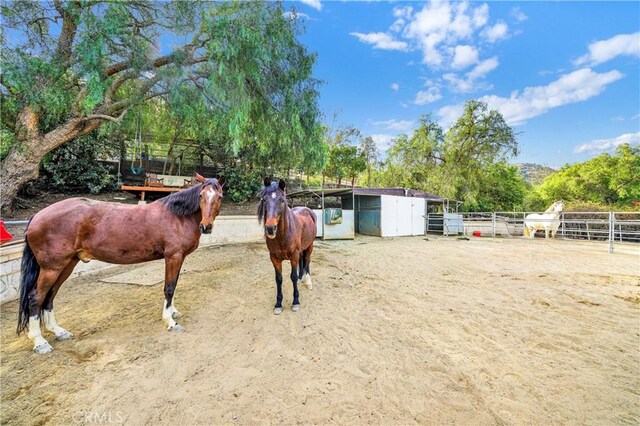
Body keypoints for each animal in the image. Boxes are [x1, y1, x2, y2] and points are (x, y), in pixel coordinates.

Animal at [16, 172, 225, 352]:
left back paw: (58, 331)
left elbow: (173, 285)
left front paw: (173, 312)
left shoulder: (178, 258)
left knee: (50, 296)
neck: (177, 216)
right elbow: (169, 288)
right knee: (36, 297)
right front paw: (170, 321)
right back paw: (39, 341)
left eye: (219, 197)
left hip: (66, 265)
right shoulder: (173, 256)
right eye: (201, 196)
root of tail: (36, 216)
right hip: (51, 268)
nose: (206, 226)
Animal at [255, 178, 316, 314]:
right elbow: (279, 279)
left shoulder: (293, 255)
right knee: (302, 261)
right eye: (264, 200)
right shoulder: (274, 258)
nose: (270, 228)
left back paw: (308, 281)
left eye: (282, 200)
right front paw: (278, 304)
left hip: (310, 246)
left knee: (307, 261)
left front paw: (296, 302)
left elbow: (292, 277)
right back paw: (302, 278)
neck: (283, 236)